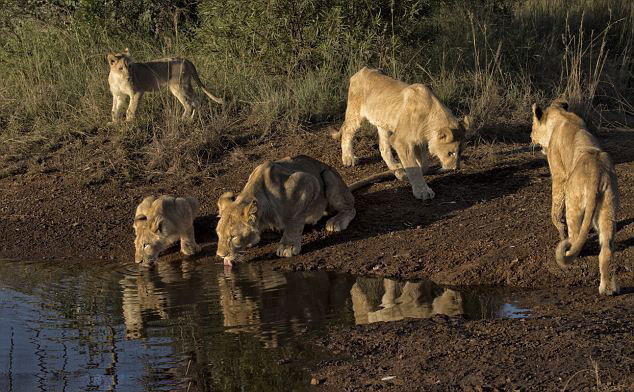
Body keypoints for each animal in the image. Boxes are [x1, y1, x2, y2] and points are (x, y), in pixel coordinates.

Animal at [214, 155, 390, 264]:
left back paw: (336, 222)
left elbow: (294, 220)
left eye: (233, 237)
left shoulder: (307, 182)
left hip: (328, 175)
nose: (220, 255)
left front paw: (288, 246)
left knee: (351, 208)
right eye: (218, 234)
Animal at [330, 66, 470, 199]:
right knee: (347, 132)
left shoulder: (419, 140)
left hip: (383, 123)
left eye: (460, 152)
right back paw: (348, 158)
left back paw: (397, 169)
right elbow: (413, 168)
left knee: (383, 148)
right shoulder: (401, 141)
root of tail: (362, 70)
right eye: (450, 153)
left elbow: (423, 164)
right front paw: (422, 191)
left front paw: (410, 172)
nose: (455, 168)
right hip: (355, 113)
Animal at [528, 99, 616, 296]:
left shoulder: (559, 174)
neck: (560, 115)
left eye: (532, 127)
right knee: (606, 250)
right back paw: (608, 288)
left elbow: (555, 207)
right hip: (608, 206)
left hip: (573, 202)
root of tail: (596, 172)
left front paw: (560, 229)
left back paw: (568, 249)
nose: (530, 137)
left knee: (575, 236)